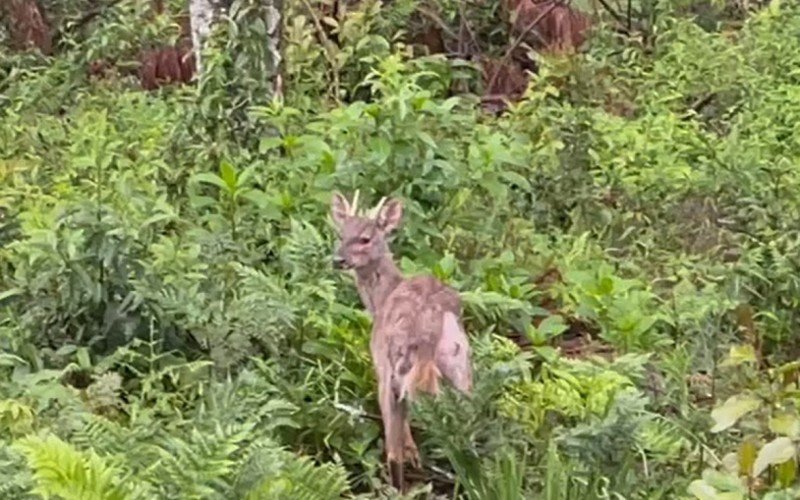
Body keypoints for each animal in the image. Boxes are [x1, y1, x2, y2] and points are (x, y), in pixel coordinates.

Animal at [328, 191, 472, 492]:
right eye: (340, 234)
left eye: (365, 238)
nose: (338, 260)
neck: (381, 299)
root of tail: (429, 327)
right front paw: (415, 453)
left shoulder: (380, 364)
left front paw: (411, 453)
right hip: (460, 363)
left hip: (396, 365)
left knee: (392, 451)